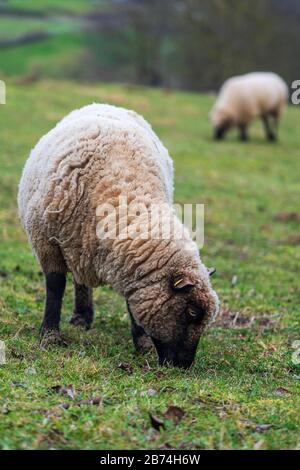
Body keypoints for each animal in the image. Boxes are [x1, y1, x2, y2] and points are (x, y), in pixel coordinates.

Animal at [19, 104, 220, 370]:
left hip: (79, 245)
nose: (184, 365)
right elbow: (55, 287)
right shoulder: (46, 243)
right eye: (192, 312)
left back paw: (83, 316)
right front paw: (50, 336)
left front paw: (143, 345)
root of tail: (103, 104)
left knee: (81, 281)